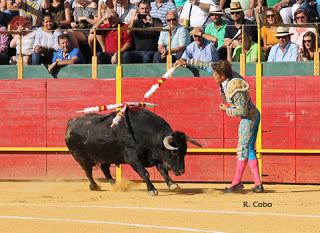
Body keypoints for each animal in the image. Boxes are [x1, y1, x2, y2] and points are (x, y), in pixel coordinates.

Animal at [64, 108, 200, 196]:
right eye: (174, 153)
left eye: (184, 152)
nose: (181, 171)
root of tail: (71, 122)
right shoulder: (132, 158)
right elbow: (144, 173)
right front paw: (152, 189)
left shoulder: (154, 156)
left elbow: (162, 170)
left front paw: (173, 185)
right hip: (81, 157)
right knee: (88, 172)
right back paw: (95, 186)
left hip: (107, 155)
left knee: (104, 168)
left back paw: (114, 184)